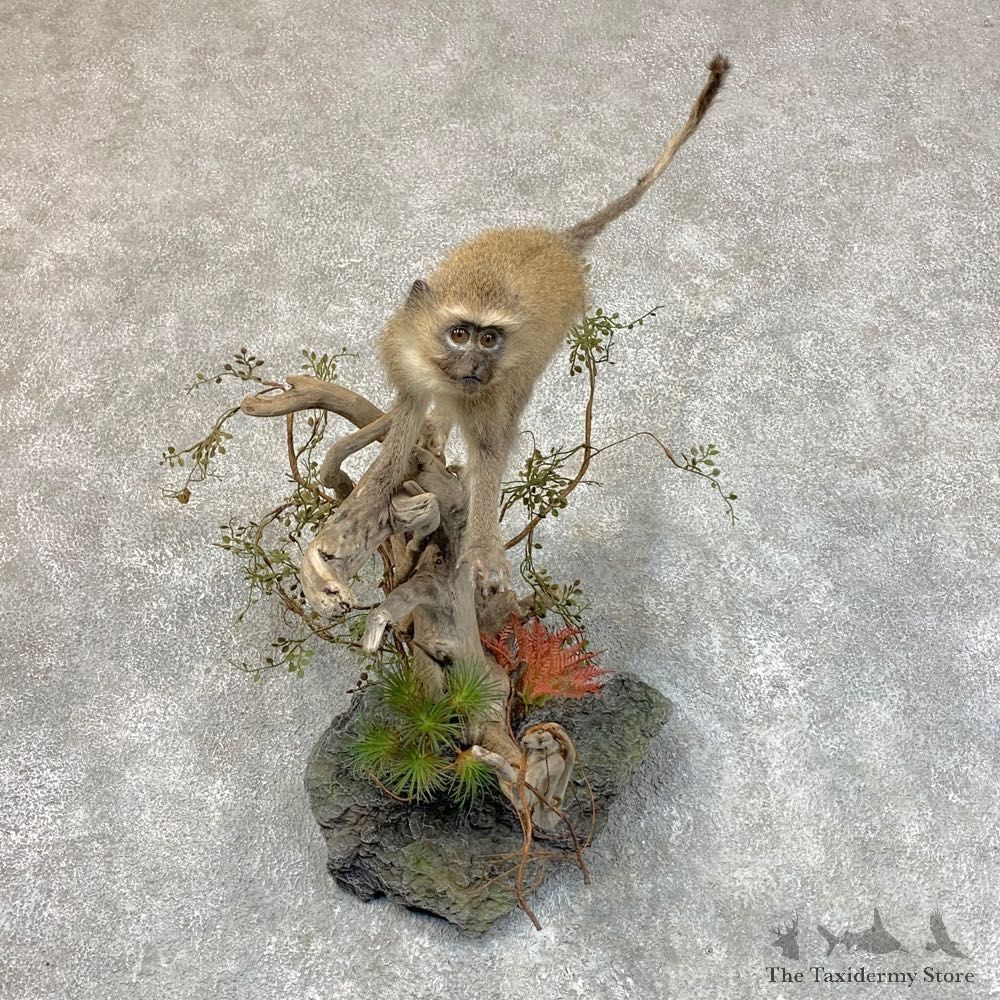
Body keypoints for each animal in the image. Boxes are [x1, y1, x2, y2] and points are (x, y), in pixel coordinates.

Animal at [325, 55, 731, 598]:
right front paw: (363, 509)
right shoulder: (406, 356)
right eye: (459, 334)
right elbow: (405, 424)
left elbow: (490, 452)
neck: (437, 370)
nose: (476, 365)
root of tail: (558, 242)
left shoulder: (491, 388)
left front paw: (481, 547)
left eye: (489, 338)